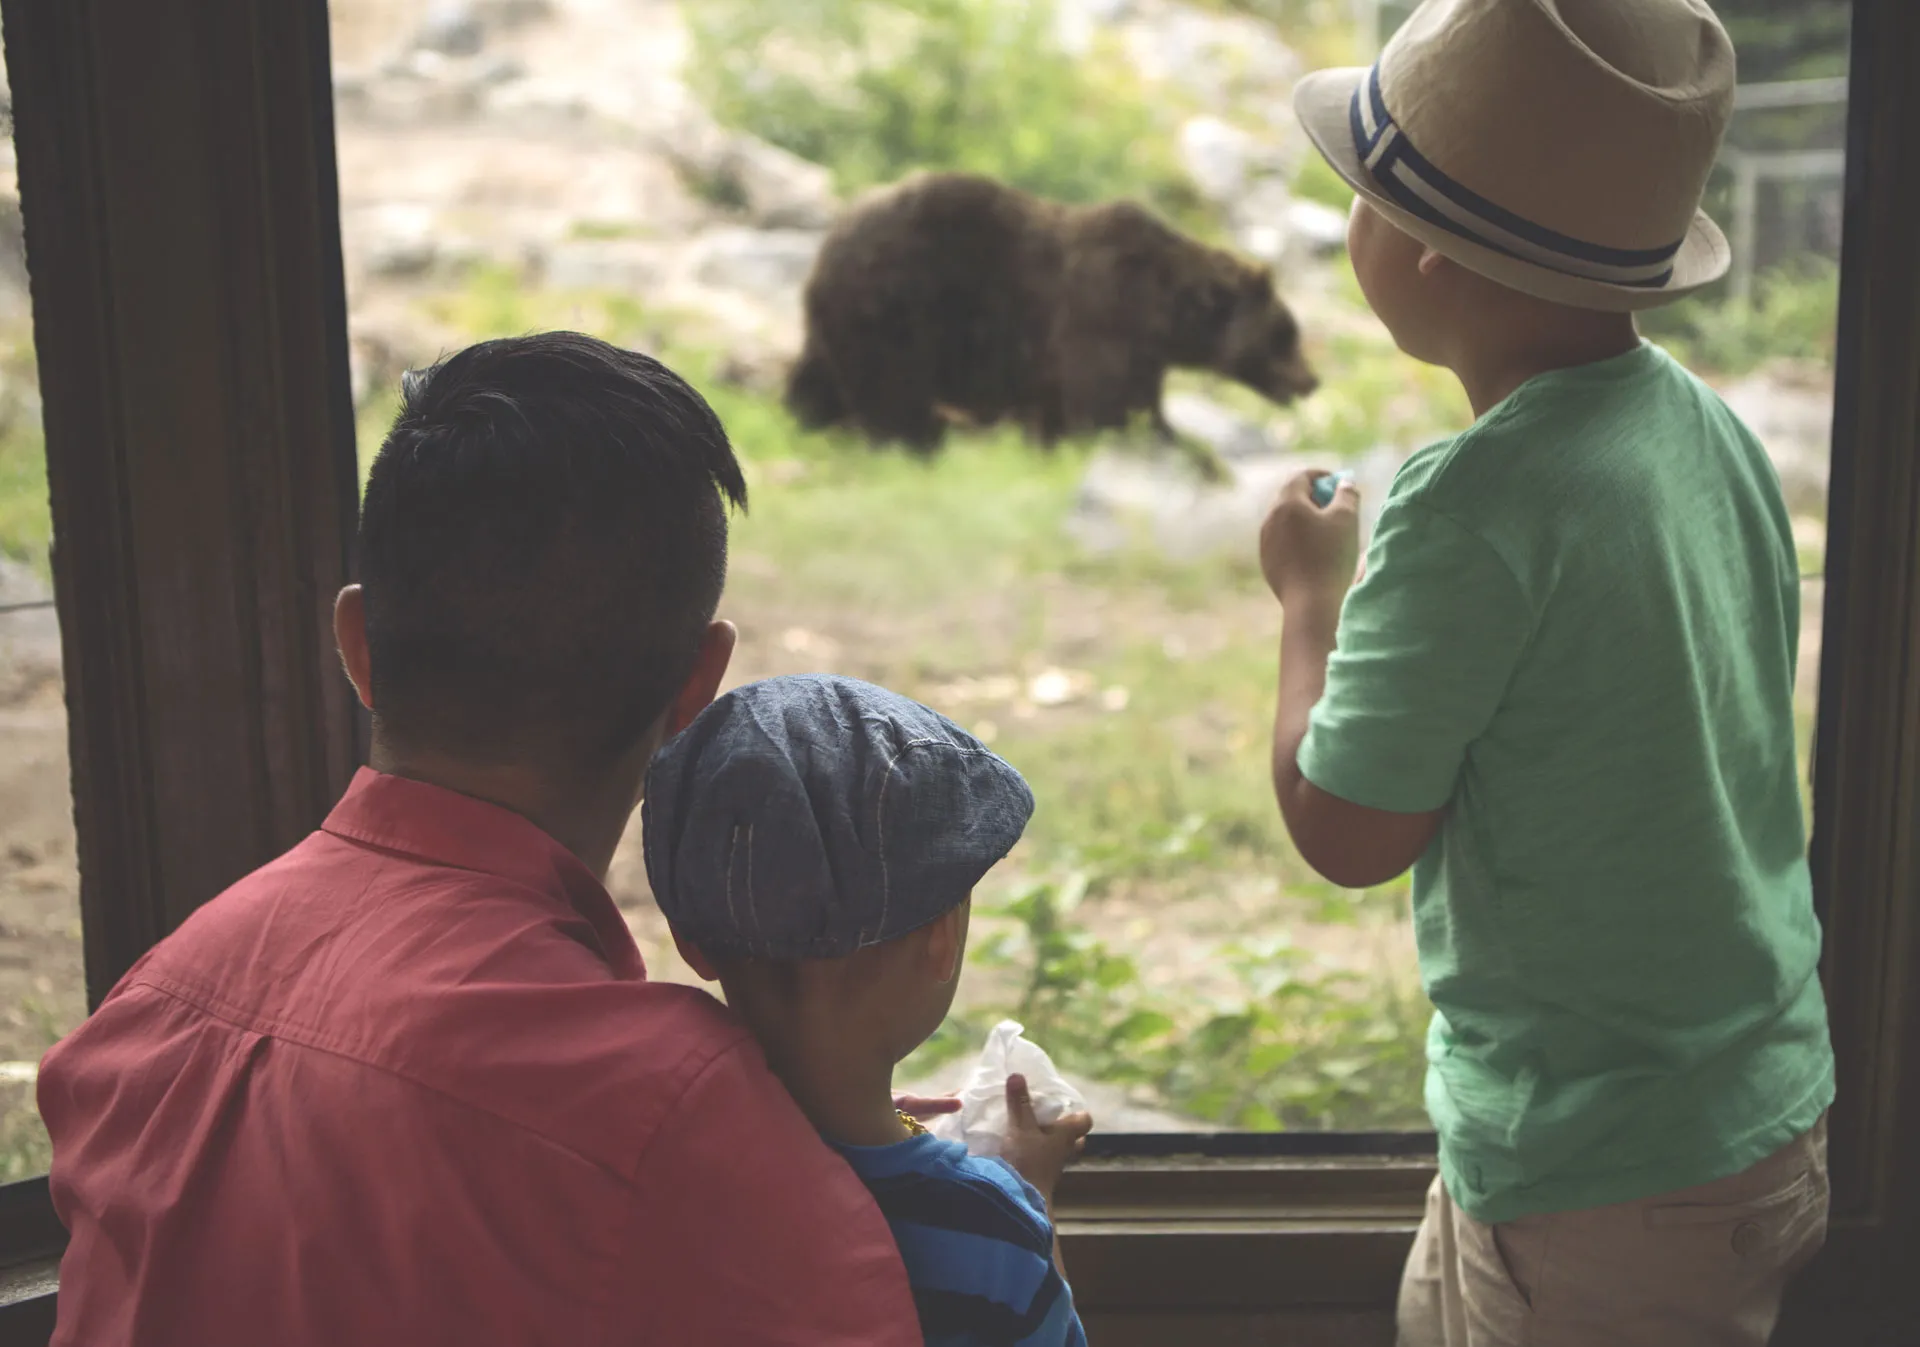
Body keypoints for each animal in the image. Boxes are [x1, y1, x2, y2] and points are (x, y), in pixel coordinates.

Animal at [783, 174, 1320, 456]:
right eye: (1286, 333)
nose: (1311, 380)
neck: (1164, 313)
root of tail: (826, 246)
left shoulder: (1112, 352)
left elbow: (1078, 411)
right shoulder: (1102, 316)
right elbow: (1111, 409)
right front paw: (1187, 453)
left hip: (842, 322)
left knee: (818, 379)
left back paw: (804, 422)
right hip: (898, 309)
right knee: (895, 391)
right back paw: (915, 444)